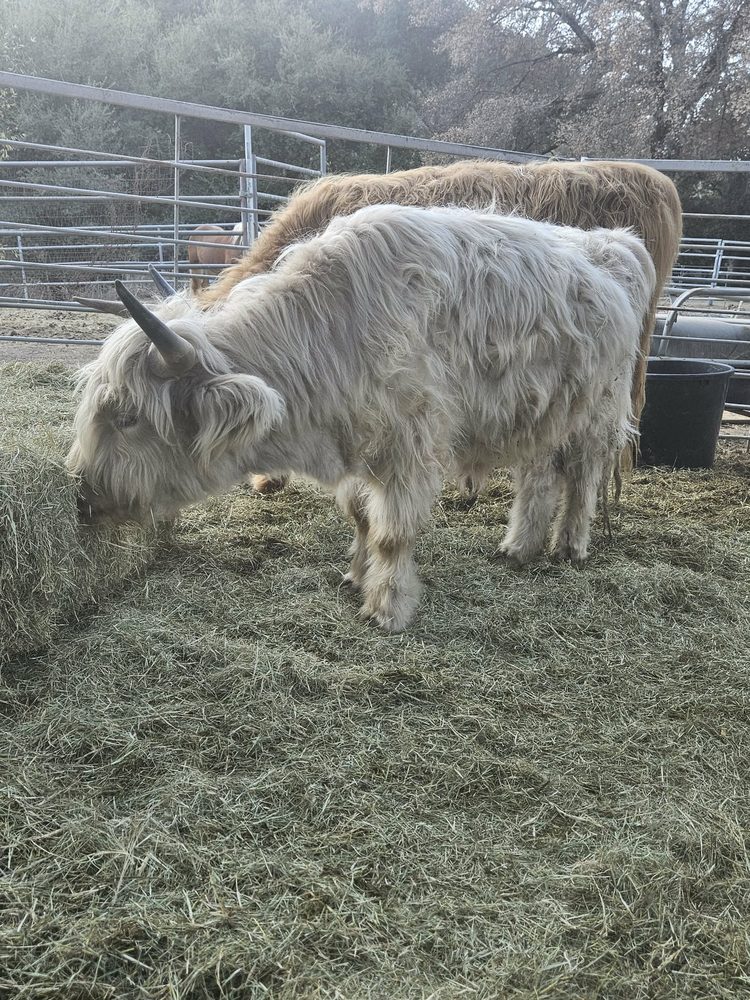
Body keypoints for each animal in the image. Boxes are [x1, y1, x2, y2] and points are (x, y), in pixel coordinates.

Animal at [68, 205, 655, 632]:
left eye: (127, 417)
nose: (83, 496)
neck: (329, 334)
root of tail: (615, 244)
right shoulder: (358, 447)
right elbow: (360, 517)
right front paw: (354, 575)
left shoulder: (410, 446)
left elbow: (392, 532)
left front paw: (387, 607)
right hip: (540, 410)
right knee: (538, 475)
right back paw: (518, 547)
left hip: (598, 412)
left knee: (582, 477)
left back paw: (570, 547)